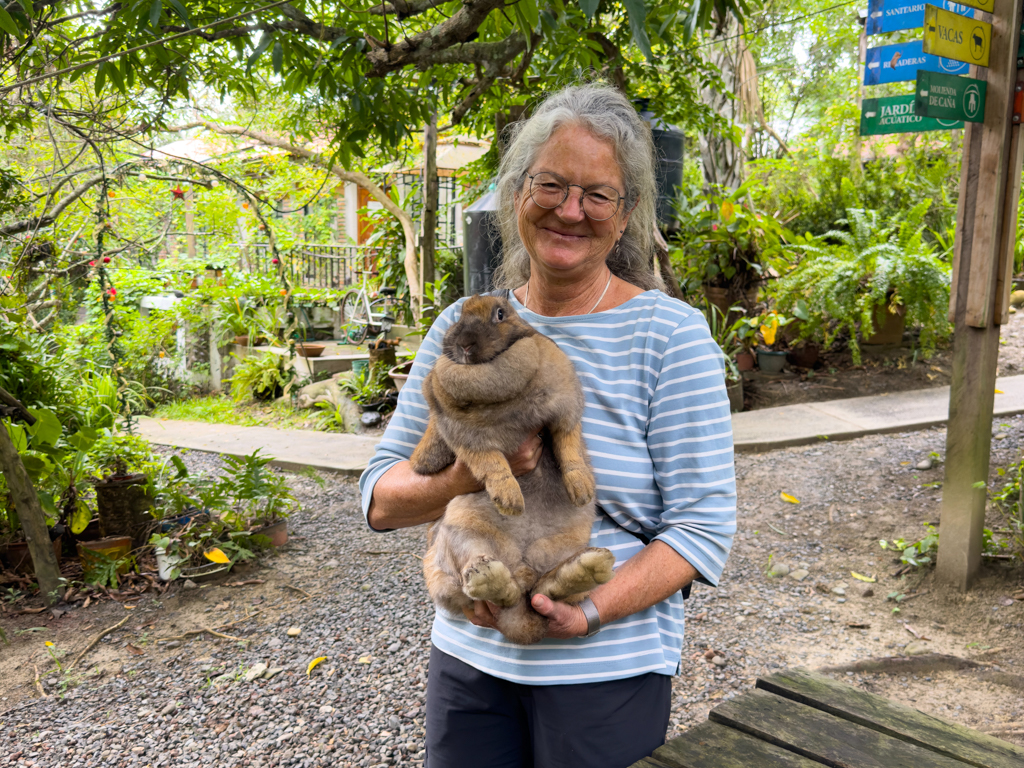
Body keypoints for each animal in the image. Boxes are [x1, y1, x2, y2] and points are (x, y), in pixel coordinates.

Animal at [409, 294, 614, 643]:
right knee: (494, 588)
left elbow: (569, 448)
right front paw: (511, 501)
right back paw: (488, 577)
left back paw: (588, 568)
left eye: (500, 314)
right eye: (458, 316)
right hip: (459, 535)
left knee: (545, 590)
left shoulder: (564, 413)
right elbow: (492, 464)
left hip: (562, 546)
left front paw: (581, 490)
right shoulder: (468, 439)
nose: (465, 344)